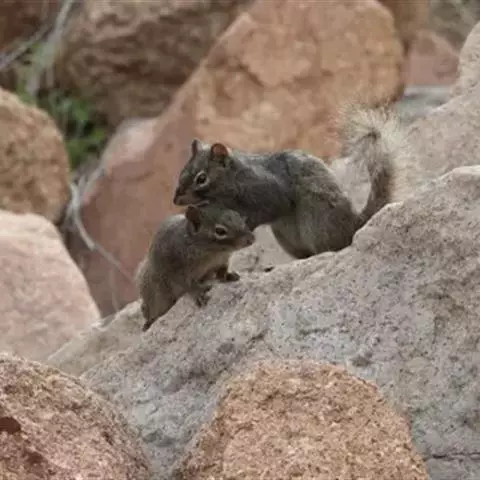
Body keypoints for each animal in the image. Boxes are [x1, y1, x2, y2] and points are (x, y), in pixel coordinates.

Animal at [136, 203, 255, 332]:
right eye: (220, 231)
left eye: (238, 216)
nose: (251, 239)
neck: (213, 252)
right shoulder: (176, 271)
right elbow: (188, 285)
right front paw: (198, 293)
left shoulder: (222, 260)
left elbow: (222, 270)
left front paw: (227, 275)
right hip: (156, 296)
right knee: (149, 311)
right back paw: (149, 321)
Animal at [173, 105, 401, 259]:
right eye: (182, 172)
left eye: (201, 178)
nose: (176, 200)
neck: (235, 179)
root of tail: (354, 227)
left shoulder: (270, 192)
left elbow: (270, 208)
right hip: (286, 237)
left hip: (316, 222)